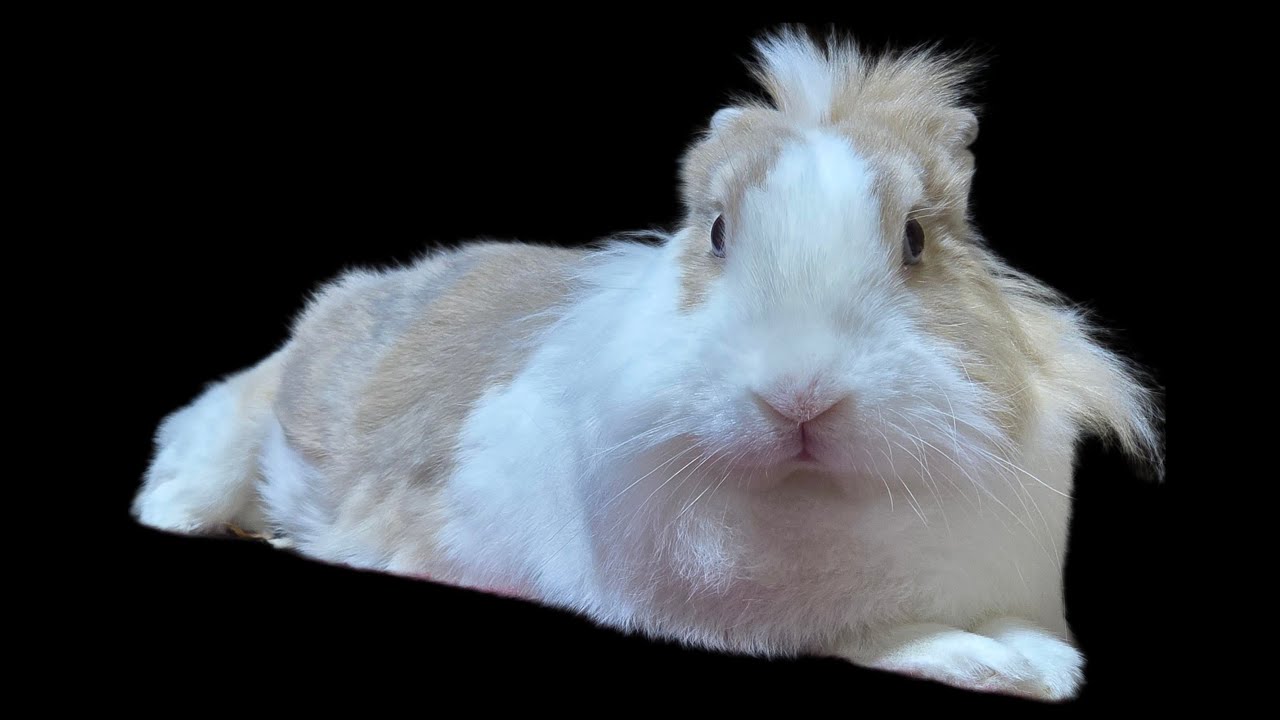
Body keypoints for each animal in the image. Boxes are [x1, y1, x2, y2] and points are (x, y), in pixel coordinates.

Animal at [132, 28, 1162, 701]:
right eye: (715, 232)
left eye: (915, 240)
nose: (800, 396)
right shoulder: (767, 621)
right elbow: (879, 635)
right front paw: (994, 664)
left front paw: (1041, 660)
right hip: (242, 425)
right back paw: (185, 518)